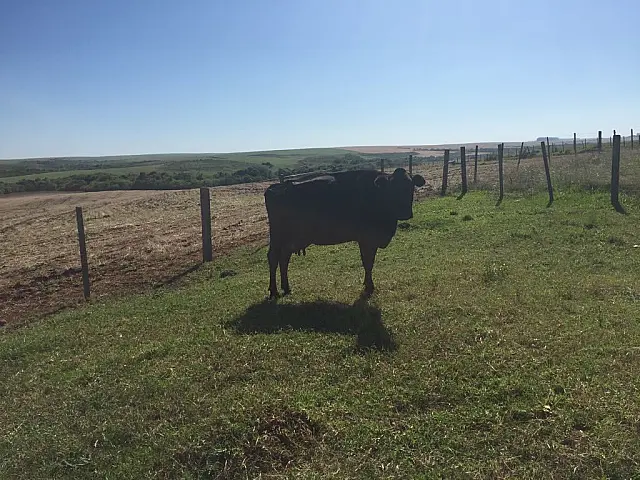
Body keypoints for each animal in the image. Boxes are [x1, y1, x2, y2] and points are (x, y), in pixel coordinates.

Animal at [263, 167, 426, 298]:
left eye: (411, 187)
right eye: (393, 189)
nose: (405, 213)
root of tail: (278, 186)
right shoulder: (367, 239)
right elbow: (368, 263)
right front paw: (369, 287)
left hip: (290, 239)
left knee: (284, 258)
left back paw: (286, 288)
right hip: (278, 235)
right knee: (273, 258)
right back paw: (274, 291)